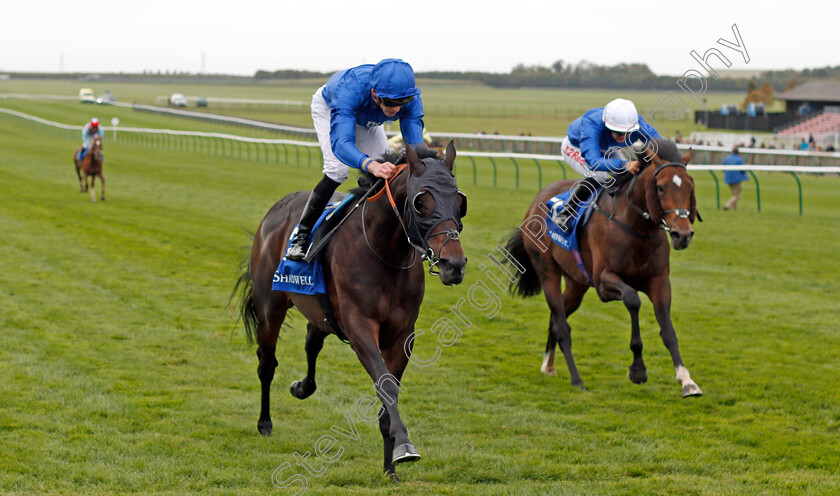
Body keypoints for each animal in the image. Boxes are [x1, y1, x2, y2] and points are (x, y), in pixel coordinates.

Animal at [233, 142, 470, 480]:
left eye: (460, 202)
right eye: (421, 202)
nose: (454, 264)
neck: (385, 253)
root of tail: (277, 208)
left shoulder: (402, 335)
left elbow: (388, 389)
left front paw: (390, 467)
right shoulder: (360, 327)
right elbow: (386, 385)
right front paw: (404, 446)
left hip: (320, 312)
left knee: (311, 342)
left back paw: (302, 387)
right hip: (270, 306)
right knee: (267, 363)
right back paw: (265, 423)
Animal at [506, 140, 704, 400]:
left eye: (690, 186)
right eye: (660, 188)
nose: (683, 235)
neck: (636, 227)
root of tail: (535, 202)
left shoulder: (659, 282)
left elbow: (668, 331)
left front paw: (687, 381)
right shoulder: (603, 281)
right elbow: (633, 300)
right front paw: (637, 370)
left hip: (576, 284)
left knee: (556, 318)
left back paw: (548, 366)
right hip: (547, 272)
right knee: (562, 326)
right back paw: (577, 380)